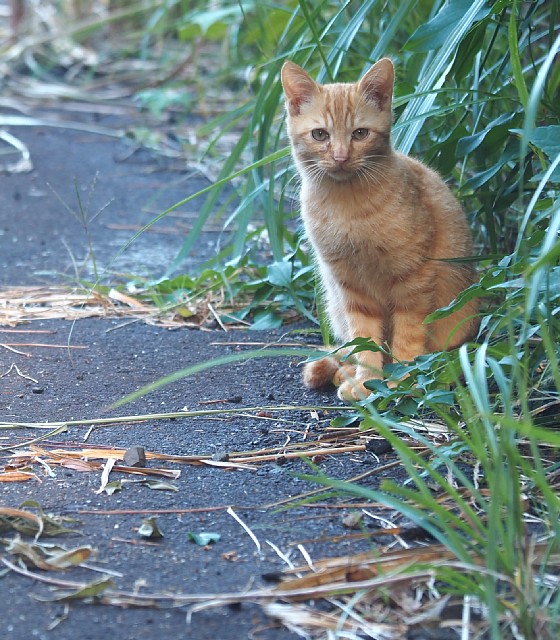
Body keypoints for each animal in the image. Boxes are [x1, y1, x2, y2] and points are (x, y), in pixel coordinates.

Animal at [282, 60, 480, 400]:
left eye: (360, 133)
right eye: (320, 135)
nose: (340, 157)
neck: (347, 207)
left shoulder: (413, 281)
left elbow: (408, 336)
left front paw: (402, 381)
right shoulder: (351, 288)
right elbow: (365, 340)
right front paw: (366, 381)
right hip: (335, 302)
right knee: (345, 349)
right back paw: (344, 373)